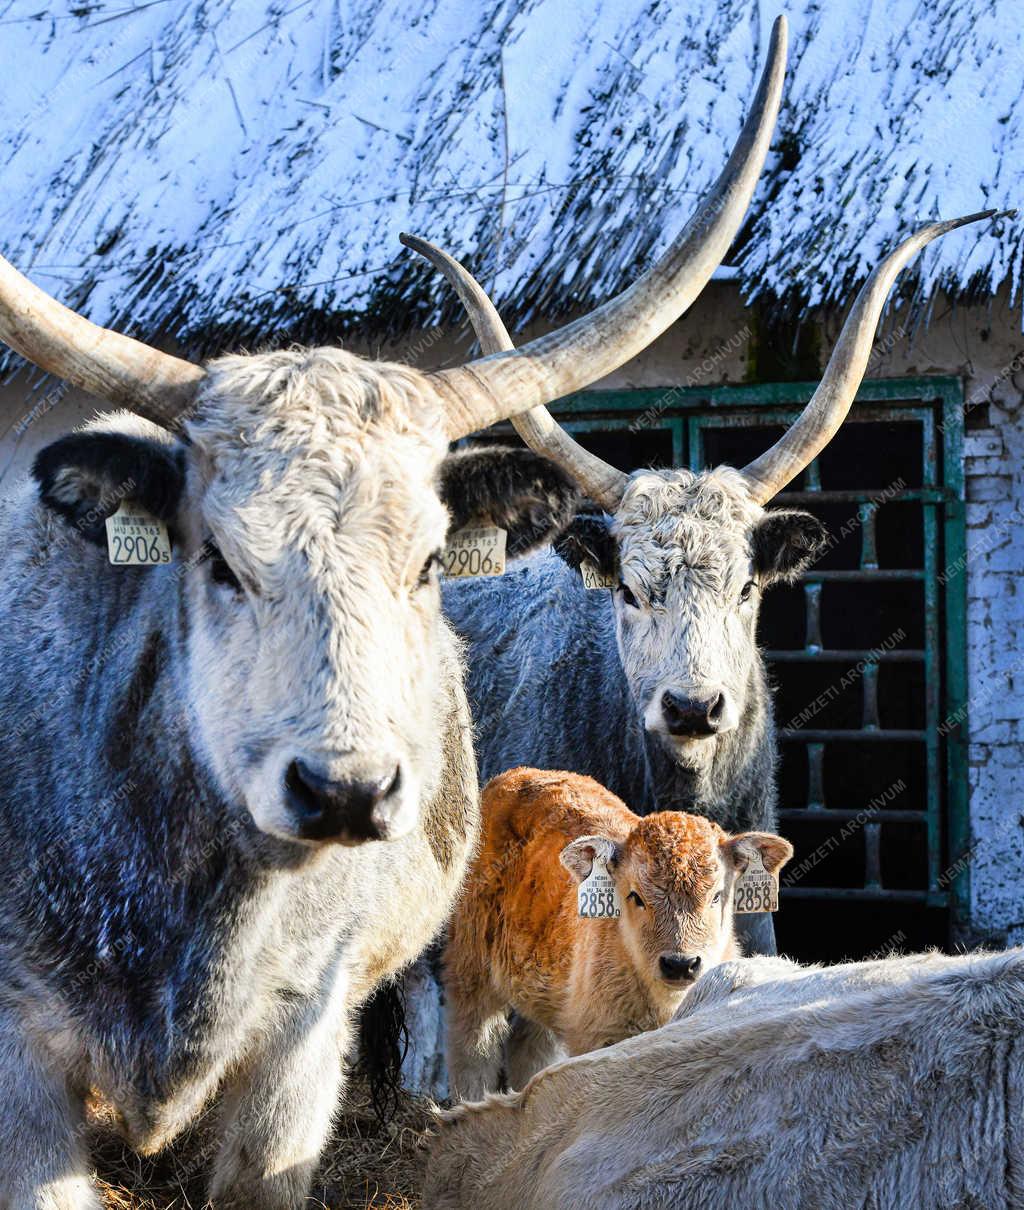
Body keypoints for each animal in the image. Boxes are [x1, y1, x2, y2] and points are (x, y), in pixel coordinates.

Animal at [447, 769, 794, 1103]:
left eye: (717, 895)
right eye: (636, 896)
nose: (680, 964)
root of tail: (511, 779)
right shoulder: (597, 1036)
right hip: (471, 973)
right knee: (473, 1051)